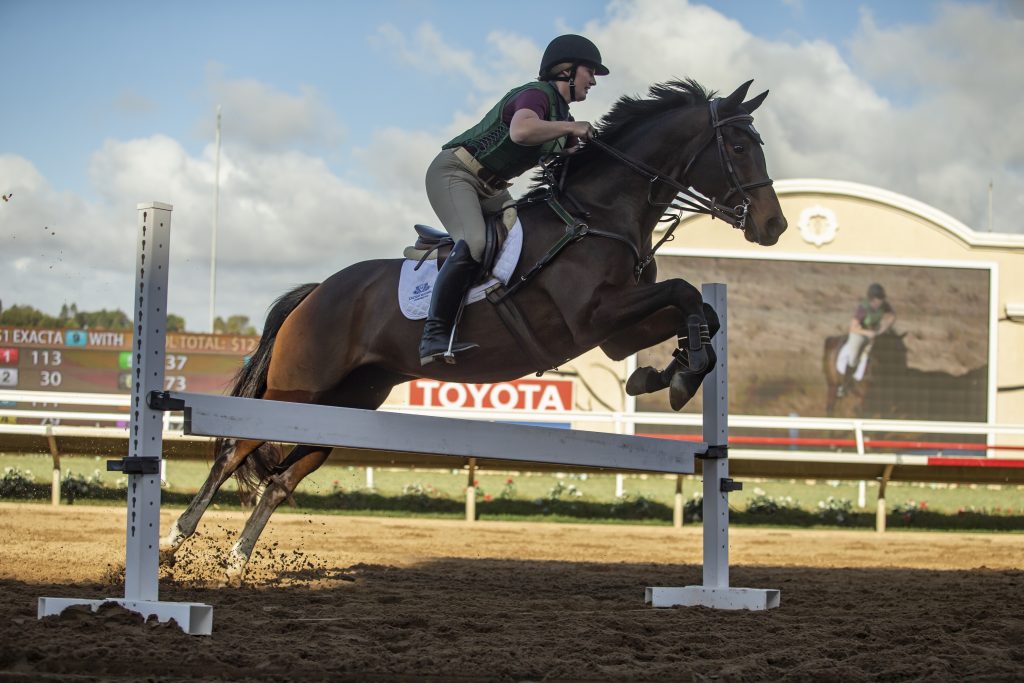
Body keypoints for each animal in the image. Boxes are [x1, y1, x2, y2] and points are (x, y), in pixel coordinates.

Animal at [161, 78, 782, 581]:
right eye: (738, 146)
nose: (773, 226)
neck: (600, 215)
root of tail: (315, 294)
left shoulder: (615, 333)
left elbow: (699, 308)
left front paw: (671, 374)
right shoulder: (596, 317)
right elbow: (684, 292)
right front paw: (674, 377)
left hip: (346, 404)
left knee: (279, 479)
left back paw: (237, 560)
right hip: (300, 388)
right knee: (234, 451)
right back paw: (174, 541)